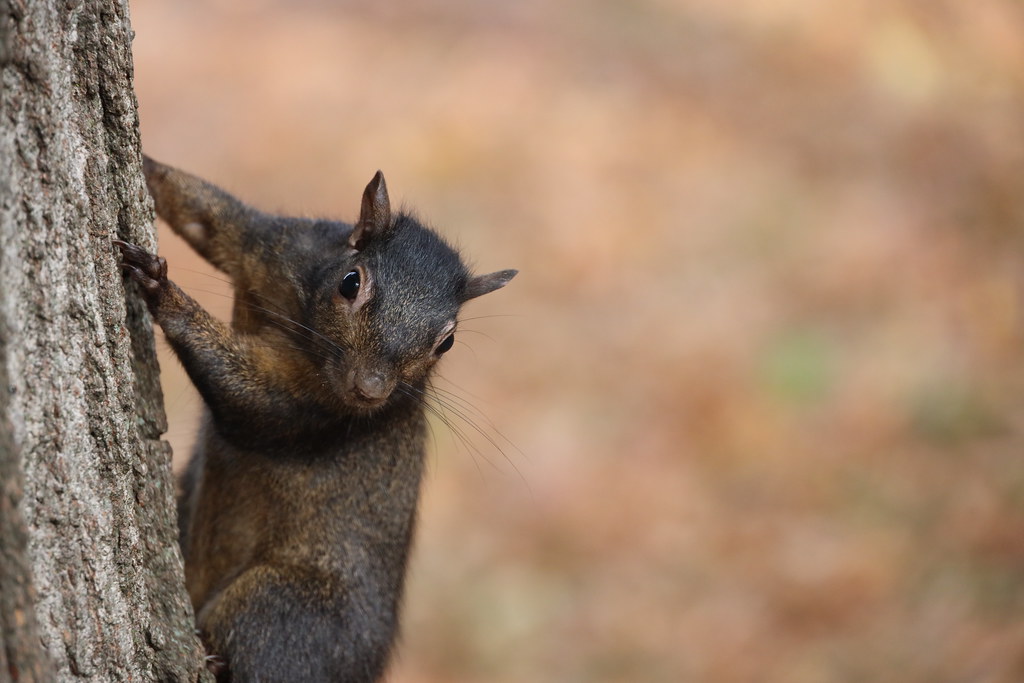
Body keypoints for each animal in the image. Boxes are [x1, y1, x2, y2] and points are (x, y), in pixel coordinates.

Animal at [115, 156, 516, 682]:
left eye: (446, 342)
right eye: (350, 282)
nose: (371, 389)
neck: (302, 326)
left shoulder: (316, 412)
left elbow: (245, 399)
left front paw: (163, 293)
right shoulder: (282, 245)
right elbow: (206, 215)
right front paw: (146, 167)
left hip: (274, 607)